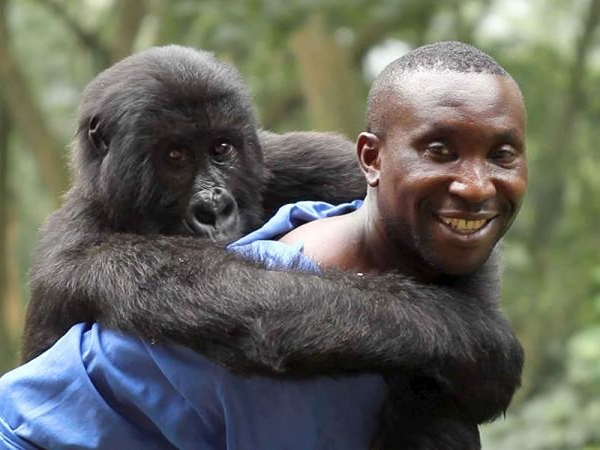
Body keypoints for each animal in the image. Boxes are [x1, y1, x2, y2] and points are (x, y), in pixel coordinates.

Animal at [22, 44, 520, 446]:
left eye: (221, 149)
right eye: (175, 156)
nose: (214, 208)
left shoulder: (284, 157)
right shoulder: (78, 252)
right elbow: (252, 302)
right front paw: (474, 341)